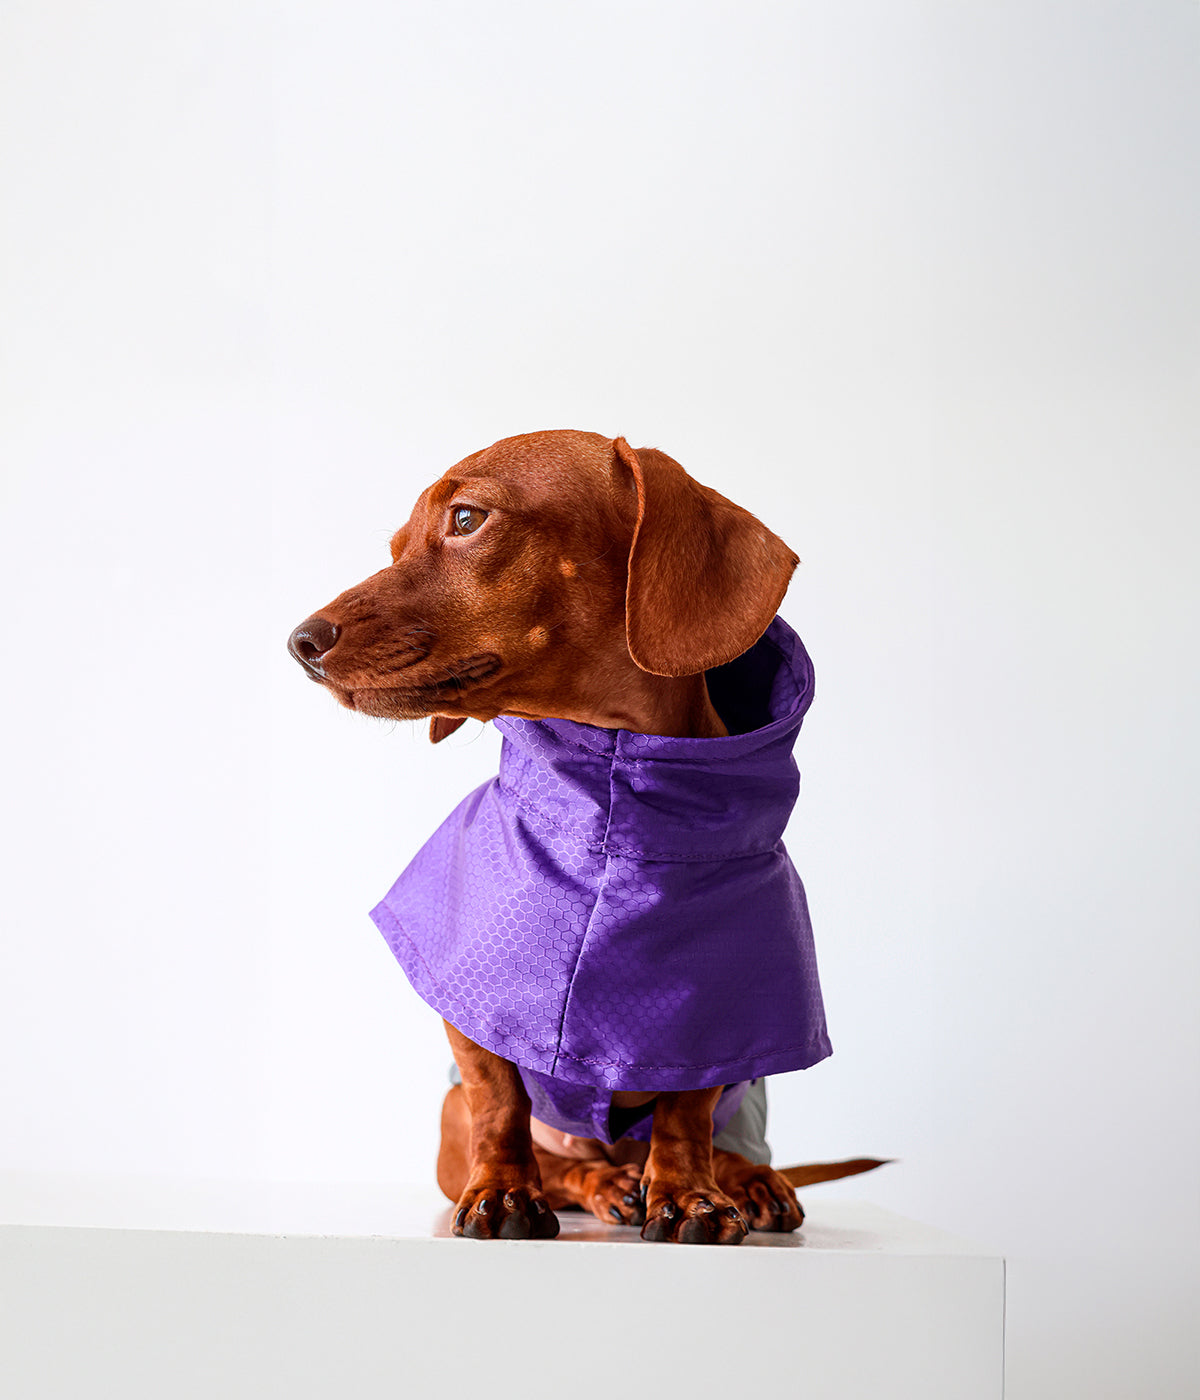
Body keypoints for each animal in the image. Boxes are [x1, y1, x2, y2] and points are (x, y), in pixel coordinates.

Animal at [285, 431, 873, 1243]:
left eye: (466, 518)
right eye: (398, 544)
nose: (300, 642)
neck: (615, 819)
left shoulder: (713, 1019)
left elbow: (687, 1112)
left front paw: (690, 1195)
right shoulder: (474, 1003)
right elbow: (500, 1099)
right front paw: (504, 1193)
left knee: (718, 1141)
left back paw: (742, 1179)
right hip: (452, 1119)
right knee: (564, 1163)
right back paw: (603, 1183)